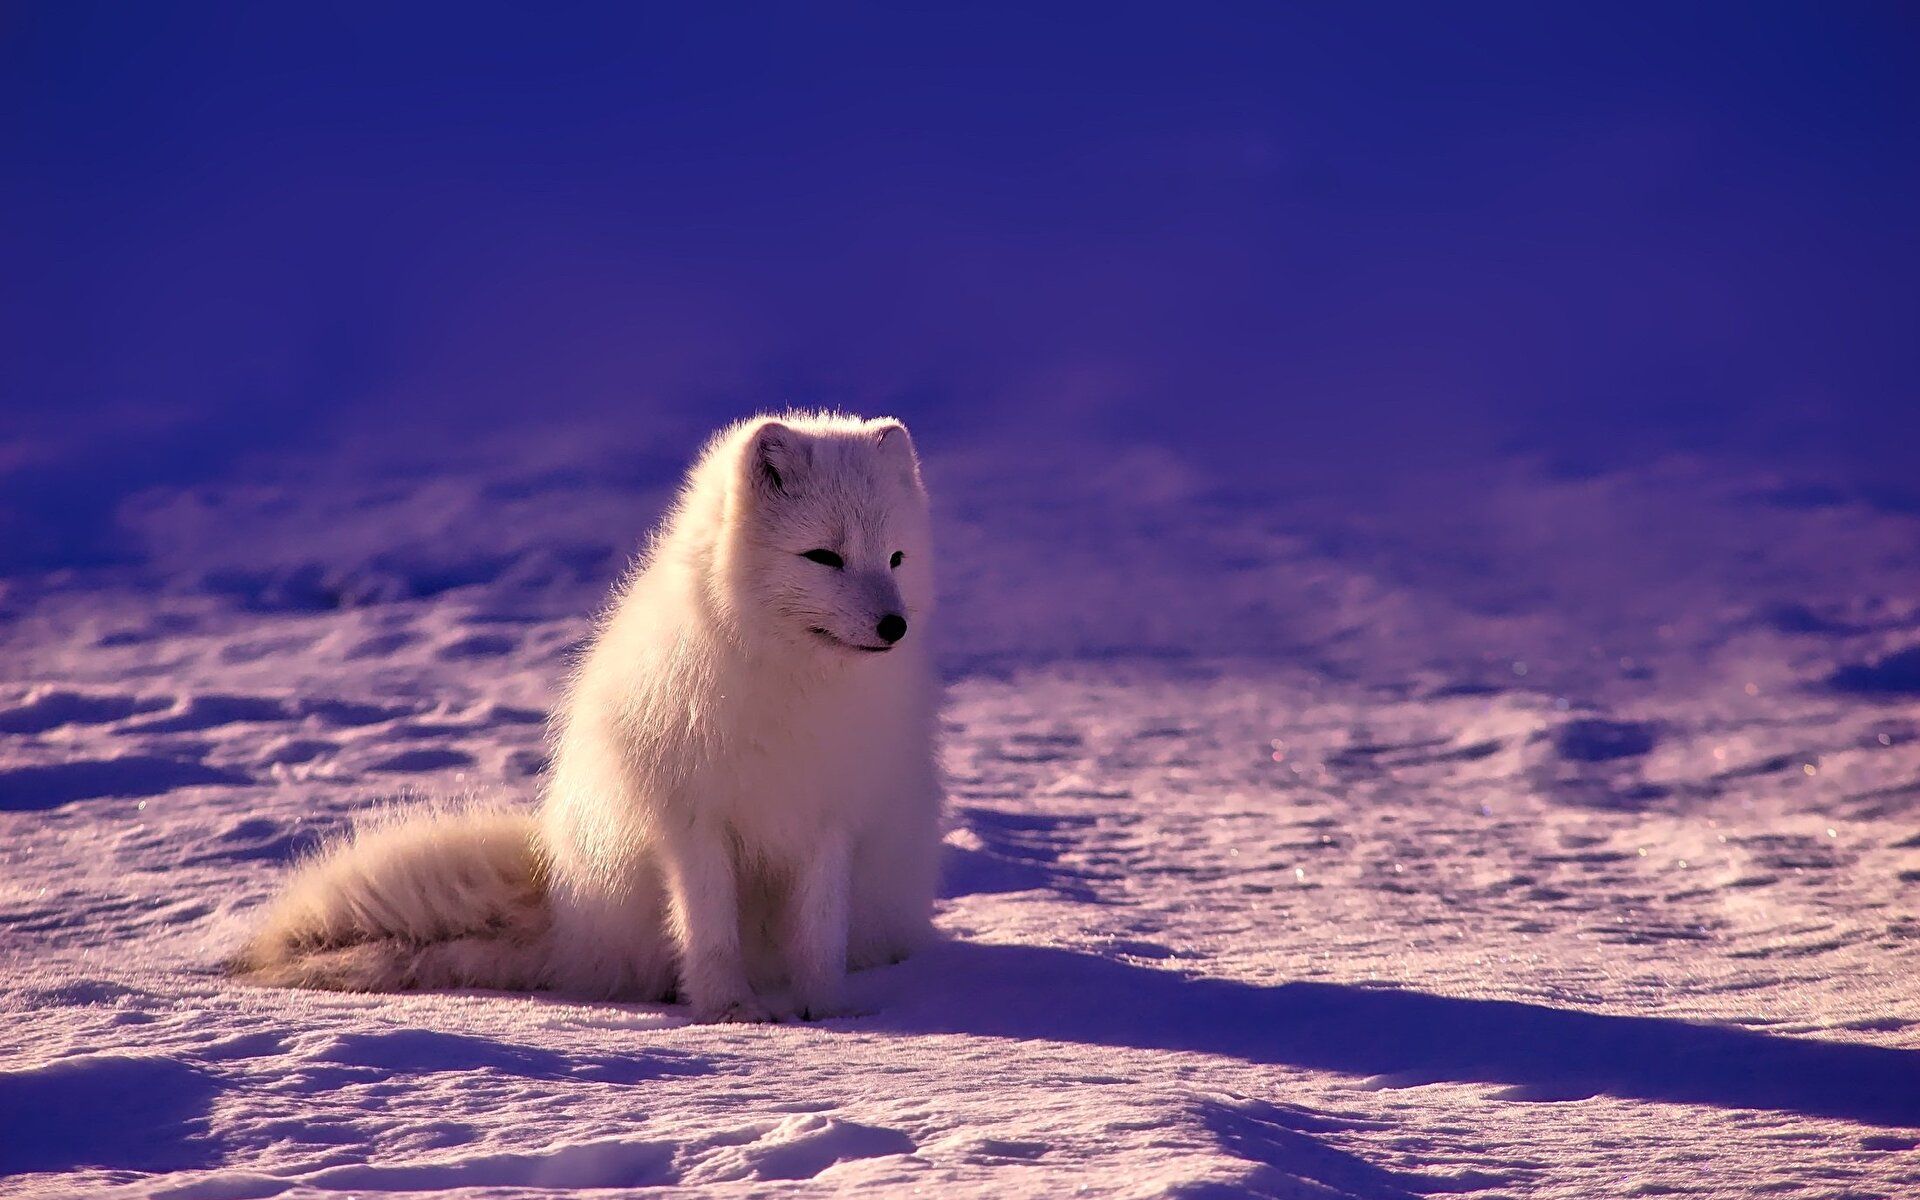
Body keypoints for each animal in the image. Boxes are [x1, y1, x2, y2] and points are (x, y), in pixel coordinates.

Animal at [232, 412, 944, 1022]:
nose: (895, 626)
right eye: (823, 557)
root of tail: (565, 917)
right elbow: (710, 930)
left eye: (896, 558)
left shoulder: (831, 820)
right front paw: (731, 1011)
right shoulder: (692, 820)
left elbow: (819, 935)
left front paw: (826, 1012)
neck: (793, 686)